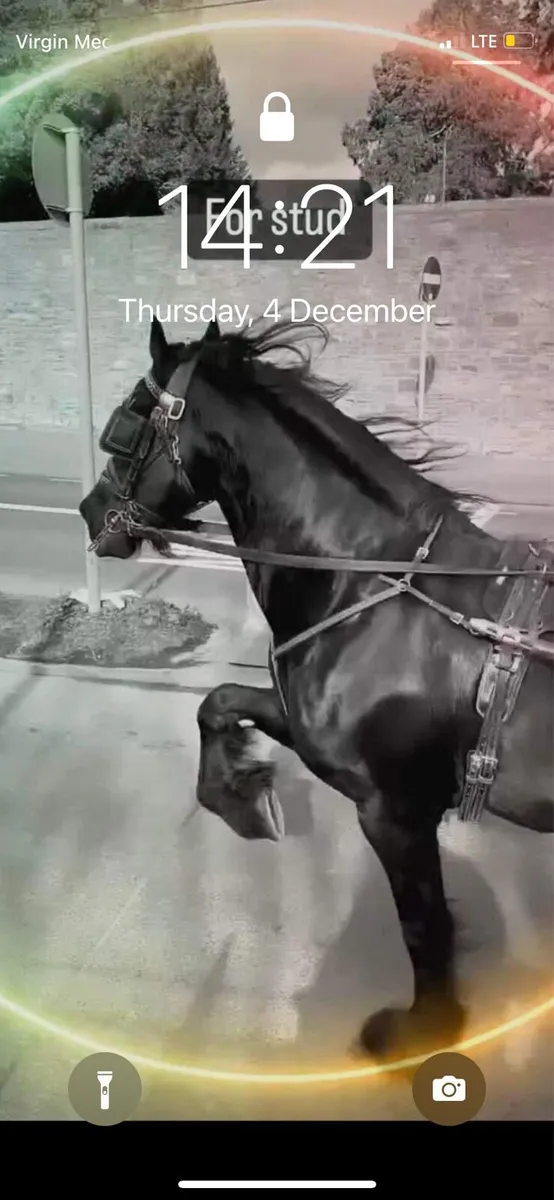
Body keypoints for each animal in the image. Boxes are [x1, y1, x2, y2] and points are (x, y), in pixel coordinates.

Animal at [80, 315, 553, 1062]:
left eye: (124, 426)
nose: (88, 508)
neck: (371, 585)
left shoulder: (393, 810)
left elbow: (424, 927)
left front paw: (423, 1028)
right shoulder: (310, 730)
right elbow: (218, 703)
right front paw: (243, 798)